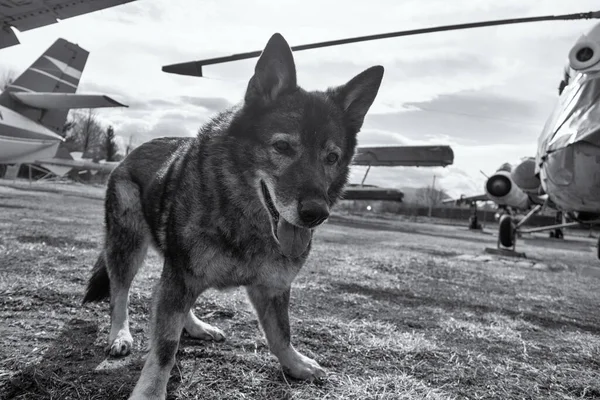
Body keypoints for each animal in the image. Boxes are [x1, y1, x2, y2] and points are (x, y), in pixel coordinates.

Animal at [83, 32, 384, 398]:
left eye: (331, 157)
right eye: (282, 147)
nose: (315, 214)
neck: (243, 217)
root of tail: (131, 152)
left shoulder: (271, 287)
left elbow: (281, 333)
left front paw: (295, 364)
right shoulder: (180, 278)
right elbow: (165, 346)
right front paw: (151, 391)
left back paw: (195, 326)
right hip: (128, 245)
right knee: (120, 292)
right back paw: (120, 334)